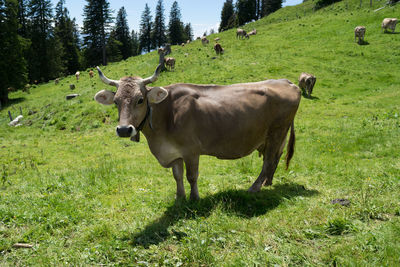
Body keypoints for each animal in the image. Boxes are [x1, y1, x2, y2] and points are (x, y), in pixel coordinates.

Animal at [94, 63, 300, 201]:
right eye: (116, 102)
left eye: (140, 99)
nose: (123, 129)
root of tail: (287, 82)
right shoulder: (174, 153)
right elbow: (177, 175)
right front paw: (179, 197)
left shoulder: (191, 150)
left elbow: (191, 176)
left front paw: (194, 198)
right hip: (274, 136)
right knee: (275, 158)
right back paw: (267, 183)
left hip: (277, 132)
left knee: (269, 161)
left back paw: (255, 187)